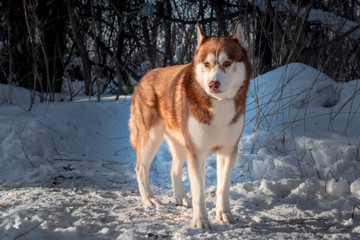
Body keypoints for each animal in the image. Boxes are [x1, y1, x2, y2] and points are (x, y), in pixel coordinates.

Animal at [130, 22, 253, 229]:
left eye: (227, 63)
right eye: (207, 64)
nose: (213, 84)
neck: (218, 104)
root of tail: (143, 78)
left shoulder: (228, 150)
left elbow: (223, 188)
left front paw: (224, 214)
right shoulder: (196, 151)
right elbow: (199, 192)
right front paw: (201, 220)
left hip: (180, 143)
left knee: (174, 170)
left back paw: (181, 198)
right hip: (151, 138)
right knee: (140, 169)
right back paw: (149, 200)